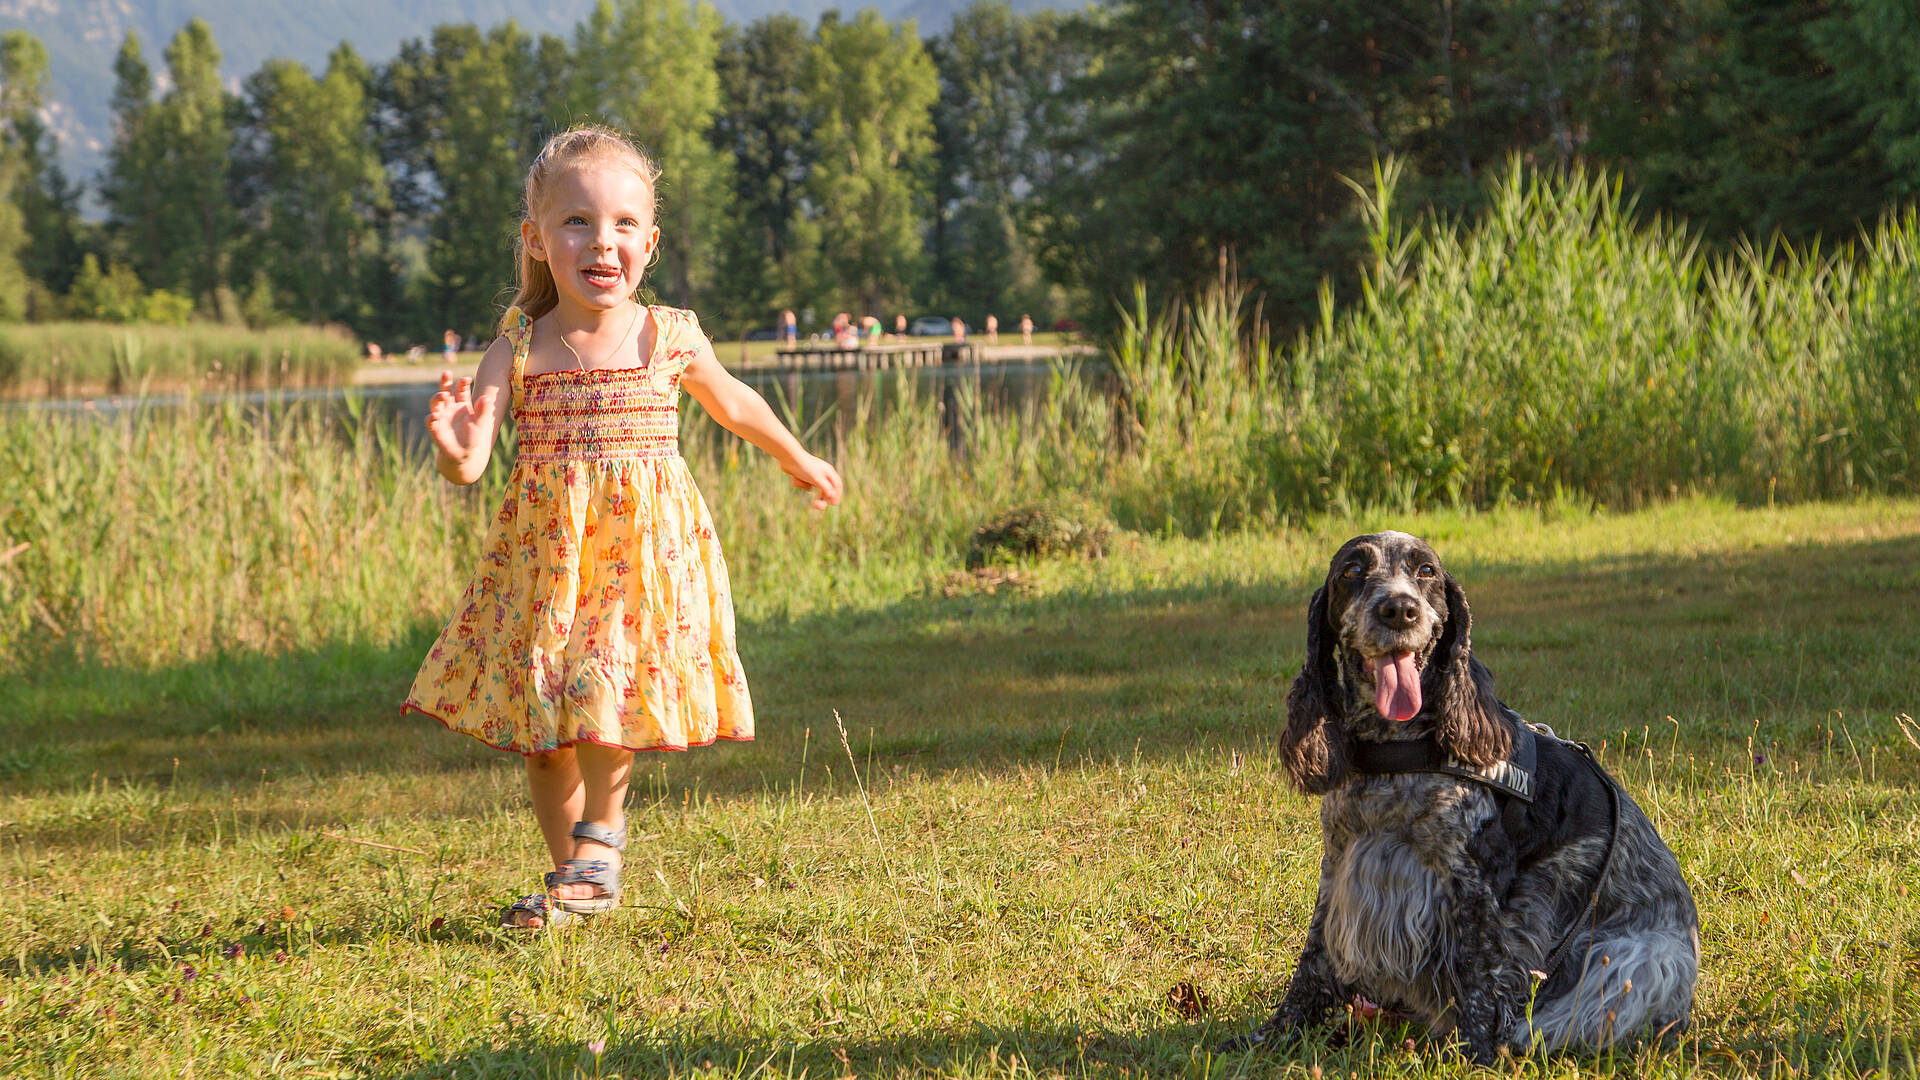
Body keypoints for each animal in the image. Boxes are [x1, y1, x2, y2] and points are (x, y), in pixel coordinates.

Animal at [1228, 530, 1697, 1060]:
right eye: (1353, 570)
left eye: (1426, 571)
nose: (1399, 609)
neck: (1397, 749)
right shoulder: (1340, 864)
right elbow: (1314, 957)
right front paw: (1272, 1036)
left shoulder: (1472, 880)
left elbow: (1478, 970)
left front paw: (1474, 1054)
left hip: (1639, 960)